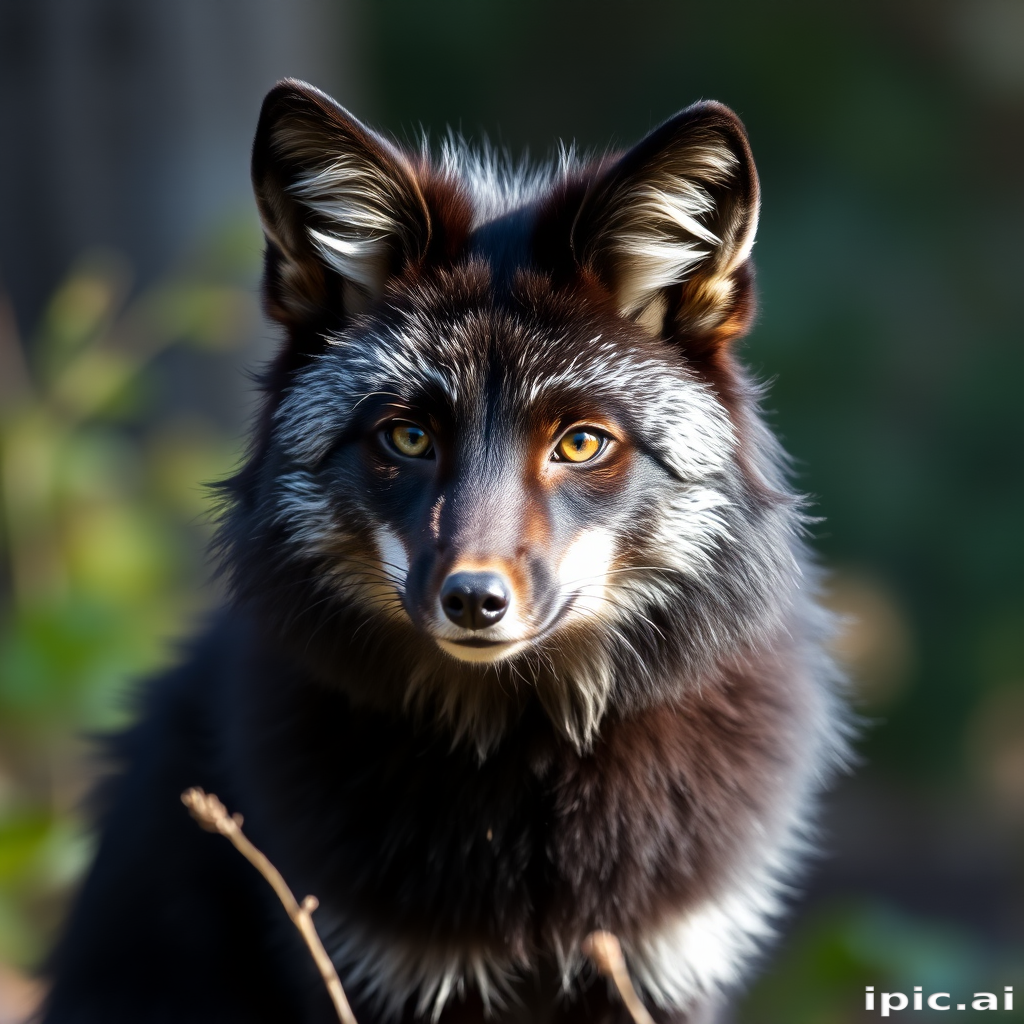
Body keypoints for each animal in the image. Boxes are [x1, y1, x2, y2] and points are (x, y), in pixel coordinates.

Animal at [42, 80, 849, 1024]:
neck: (521, 789)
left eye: (580, 443)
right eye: (409, 436)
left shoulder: (663, 970)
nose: (473, 601)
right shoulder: (375, 974)